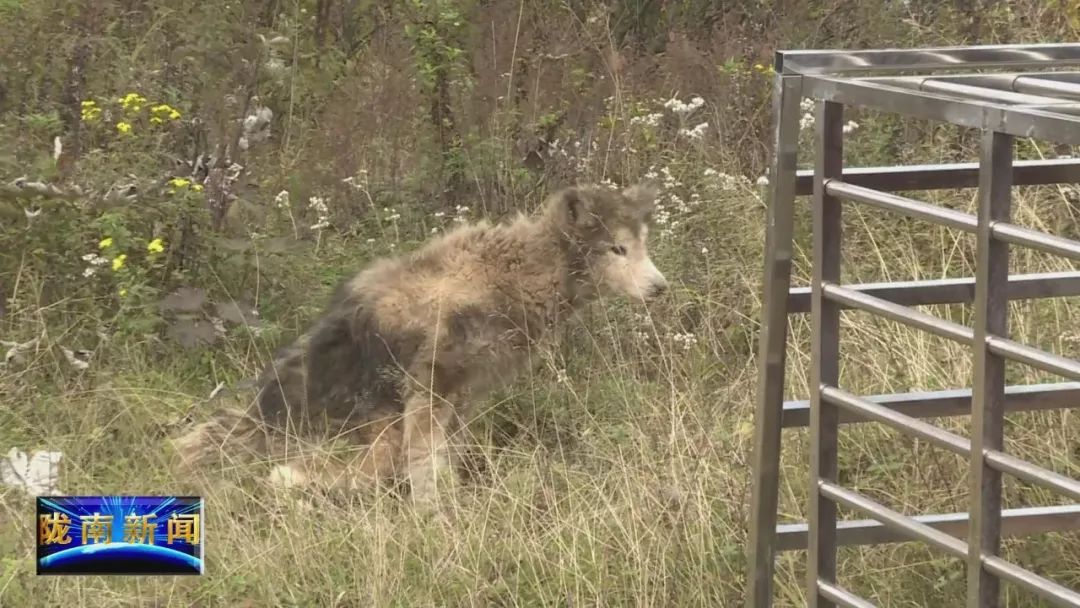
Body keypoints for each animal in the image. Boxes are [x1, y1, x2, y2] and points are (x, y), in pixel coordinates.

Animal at [170, 183, 665, 507]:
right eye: (618, 249)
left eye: (642, 245)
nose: (661, 287)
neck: (522, 272)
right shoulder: (430, 386)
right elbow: (424, 465)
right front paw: (436, 515)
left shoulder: (460, 396)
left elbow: (443, 456)